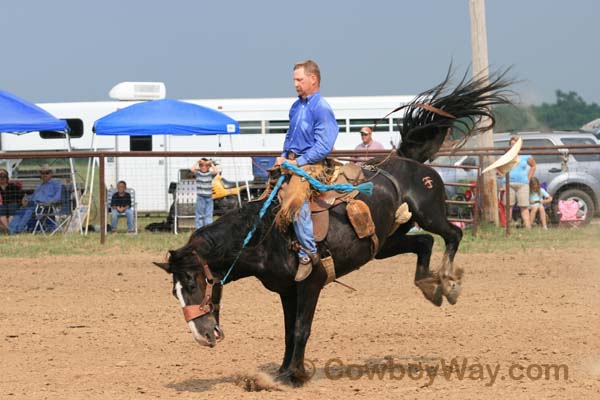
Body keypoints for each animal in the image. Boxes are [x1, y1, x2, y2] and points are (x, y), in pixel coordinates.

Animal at [154, 69, 510, 384]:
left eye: (192, 283)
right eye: (175, 292)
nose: (202, 336)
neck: (264, 236)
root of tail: (408, 160)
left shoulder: (310, 283)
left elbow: (301, 329)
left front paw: (293, 376)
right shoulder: (287, 290)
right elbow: (288, 330)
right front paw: (282, 372)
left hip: (430, 214)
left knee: (453, 234)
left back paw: (448, 283)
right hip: (386, 243)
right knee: (424, 243)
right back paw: (430, 286)